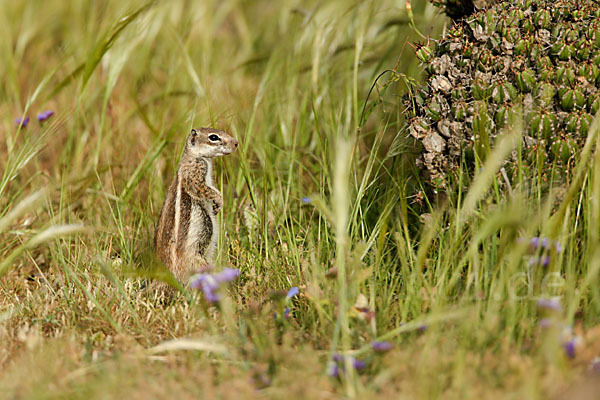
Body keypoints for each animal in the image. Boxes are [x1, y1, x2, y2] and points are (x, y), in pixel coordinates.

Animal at [154, 127, 238, 284]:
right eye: (213, 137)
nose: (236, 143)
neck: (193, 155)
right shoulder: (195, 172)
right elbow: (202, 189)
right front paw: (219, 201)